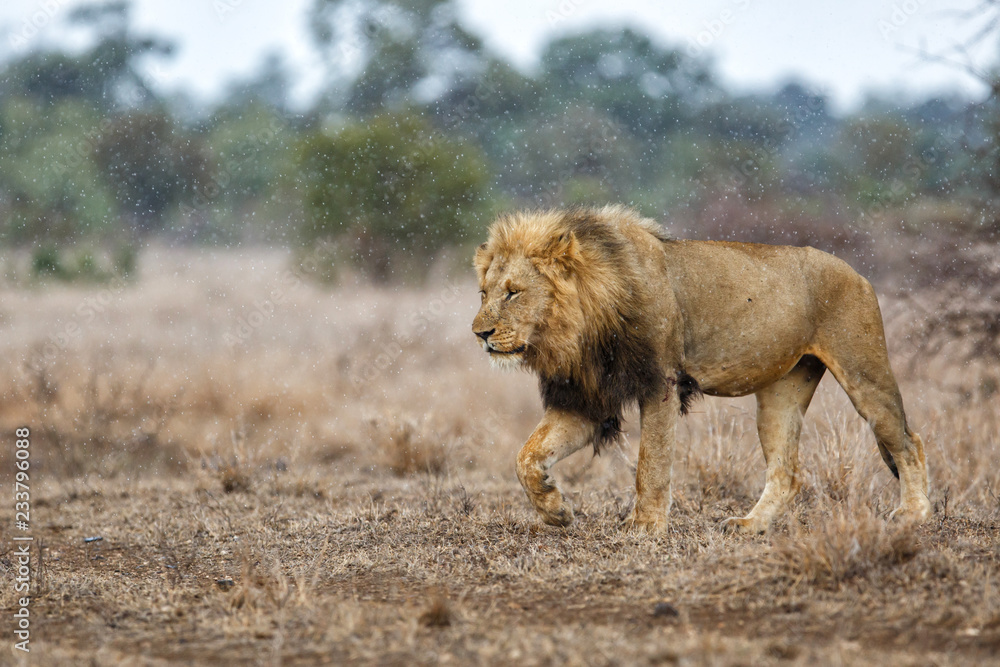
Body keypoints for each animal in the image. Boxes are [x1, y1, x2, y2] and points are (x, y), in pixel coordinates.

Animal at [472, 205, 931, 533]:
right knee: (786, 472)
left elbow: (652, 462)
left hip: (864, 372)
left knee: (909, 441)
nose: (480, 333)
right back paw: (750, 525)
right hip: (781, 394)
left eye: (513, 293)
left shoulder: (660, 381)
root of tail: (859, 273)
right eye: (483, 292)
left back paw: (913, 514)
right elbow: (527, 456)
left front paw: (644, 526)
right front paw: (556, 510)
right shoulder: (585, 401)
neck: (579, 328)